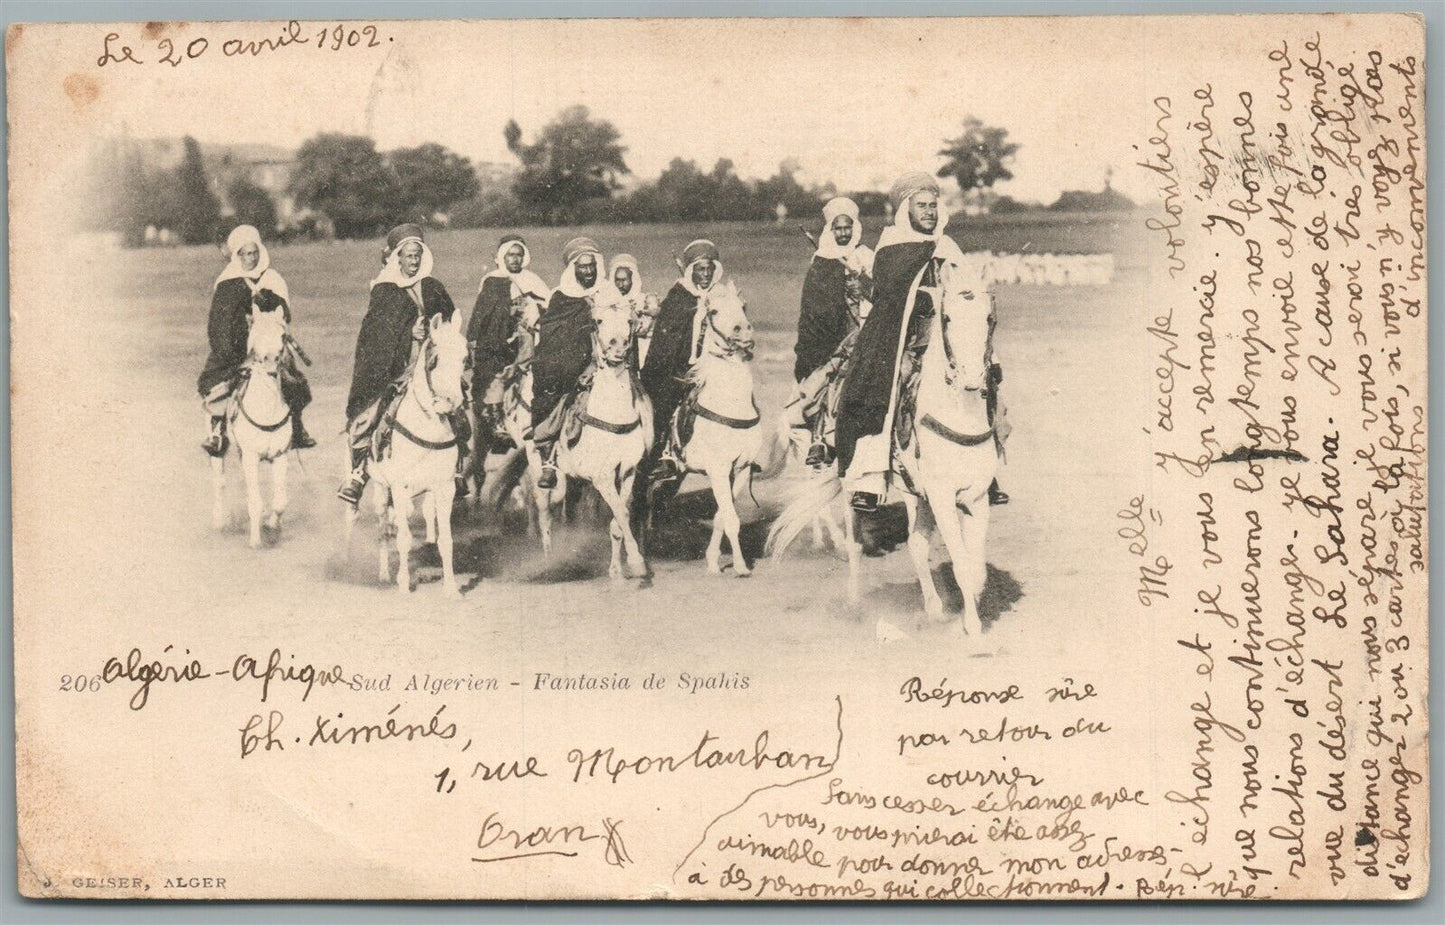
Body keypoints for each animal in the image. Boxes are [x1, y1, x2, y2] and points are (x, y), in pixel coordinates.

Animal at [209, 306, 290, 546]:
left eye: (283, 334)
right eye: (254, 334)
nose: (271, 362)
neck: (266, 410)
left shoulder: (281, 455)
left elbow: (280, 501)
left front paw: (272, 526)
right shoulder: (251, 456)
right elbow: (255, 501)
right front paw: (255, 541)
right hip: (220, 450)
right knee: (219, 481)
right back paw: (218, 521)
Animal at [367, 312, 468, 601]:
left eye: (465, 357)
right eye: (434, 359)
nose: (452, 403)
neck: (428, 426)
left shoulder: (445, 487)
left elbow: (446, 540)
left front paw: (451, 588)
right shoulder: (399, 487)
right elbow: (402, 538)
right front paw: (403, 584)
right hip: (382, 491)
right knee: (384, 530)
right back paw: (384, 574)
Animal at [534, 315, 653, 581]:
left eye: (629, 318)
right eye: (598, 320)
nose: (618, 345)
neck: (614, 415)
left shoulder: (627, 472)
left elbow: (618, 518)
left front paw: (616, 570)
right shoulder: (603, 476)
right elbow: (622, 513)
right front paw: (637, 563)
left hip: (574, 480)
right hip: (545, 476)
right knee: (545, 513)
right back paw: (547, 561)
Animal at [667, 277, 786, 575]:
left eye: (743, 306)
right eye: (713, 312)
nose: (742, 330)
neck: (730, 404)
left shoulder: (740, 470)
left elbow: (723, 515)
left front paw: (712, 561)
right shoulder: (718, 470)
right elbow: (730, 518)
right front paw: (741, 567)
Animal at [774, 263, 999, 633]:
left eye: (989, 317)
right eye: (948, 317)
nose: (971, 378)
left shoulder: (974, 497)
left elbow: (975, 568)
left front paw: (969, 615)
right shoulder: (942, 496)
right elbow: (962, 565)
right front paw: (972, 629)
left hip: (914, 491)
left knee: (917, 543)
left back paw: (934, 608)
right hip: (852, 481)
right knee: (854, 545)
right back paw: (854, 603)